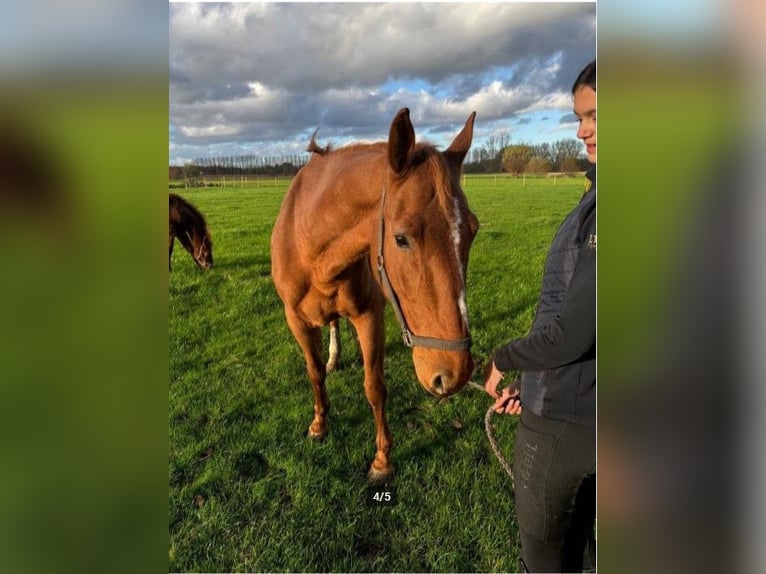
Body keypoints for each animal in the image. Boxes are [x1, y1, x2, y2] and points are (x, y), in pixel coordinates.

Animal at [270, 107, 480, 482]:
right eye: (401, 239)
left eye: (473, 230)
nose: (456, 373)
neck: (312, 247)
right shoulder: (296, 320)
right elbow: (314, 372)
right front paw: (319, 424)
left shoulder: (370, 316)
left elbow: (375, 386)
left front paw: (382, 460)